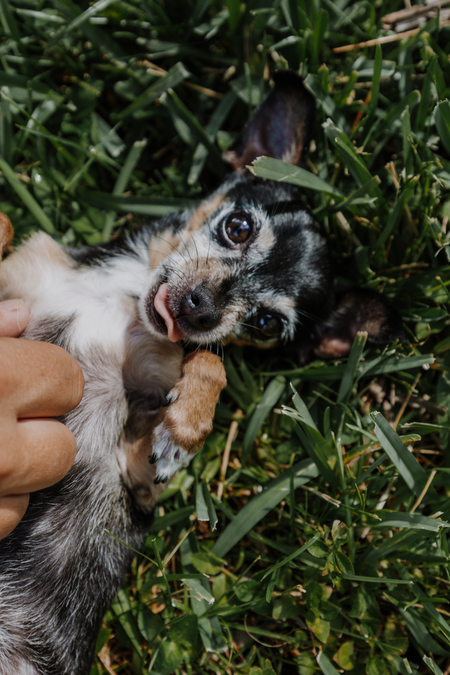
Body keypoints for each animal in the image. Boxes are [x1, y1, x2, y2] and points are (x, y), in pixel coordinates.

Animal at [0, 71, 404, 672]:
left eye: (265, 323)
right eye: (237, 227)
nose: (200, 309)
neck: (121, 292)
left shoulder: (136, 475)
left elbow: (209, 362)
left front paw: (186, 429)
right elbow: (5, 225)